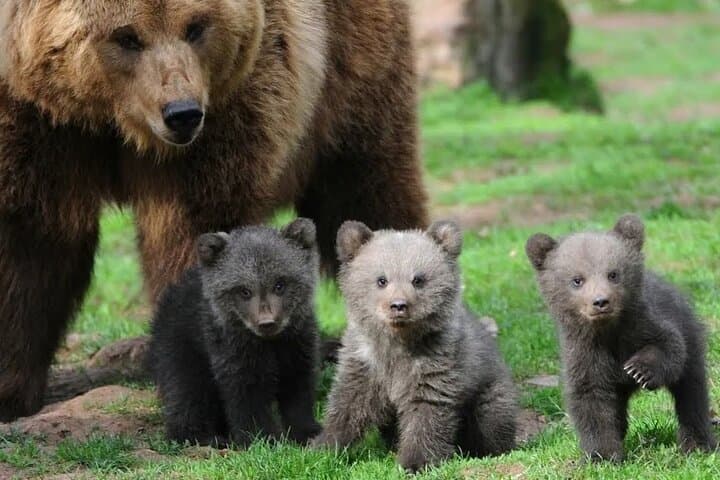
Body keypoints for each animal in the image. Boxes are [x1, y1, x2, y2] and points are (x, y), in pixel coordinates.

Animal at [0, 0, 427, 421]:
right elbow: (30, 238)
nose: (182, 113)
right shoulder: (35, 120)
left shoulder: (227, 109)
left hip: (352, 71)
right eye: (127, 37)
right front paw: (12, 389)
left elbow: (197, 226)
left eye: (195, 27)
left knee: (367, 186)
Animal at [147, 218, 321, 447]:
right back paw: (201, 435)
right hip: (179, 345)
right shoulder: (231, 350)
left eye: (280, 284)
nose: (267, 323)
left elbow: (298, 389)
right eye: (244, 290)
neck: (269, 343)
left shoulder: (297, 343)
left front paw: (306, 431)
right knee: (186, 391)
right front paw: (261, 438)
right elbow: (246, 396)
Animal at [312, 220, 518, 473]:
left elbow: (426, 413)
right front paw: (324, 446)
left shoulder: (434, 366)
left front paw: (416, 462)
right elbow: (348, 405)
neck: (397, 343)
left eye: (418, 279)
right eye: (382, 279)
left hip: (488, 389)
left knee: (492, 420)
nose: (398, 305)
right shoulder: (365, 363)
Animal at [526, 214, 718, 462]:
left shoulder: (643, 326)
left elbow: (668, 346)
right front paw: (603, 455)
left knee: (691, 394)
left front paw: (639, 369)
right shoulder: (584, 353)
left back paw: (697, 444)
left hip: (690, 333)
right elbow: (591, 399)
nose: (600, 302)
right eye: (577, 280)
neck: (606, 332)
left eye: (613, 274)